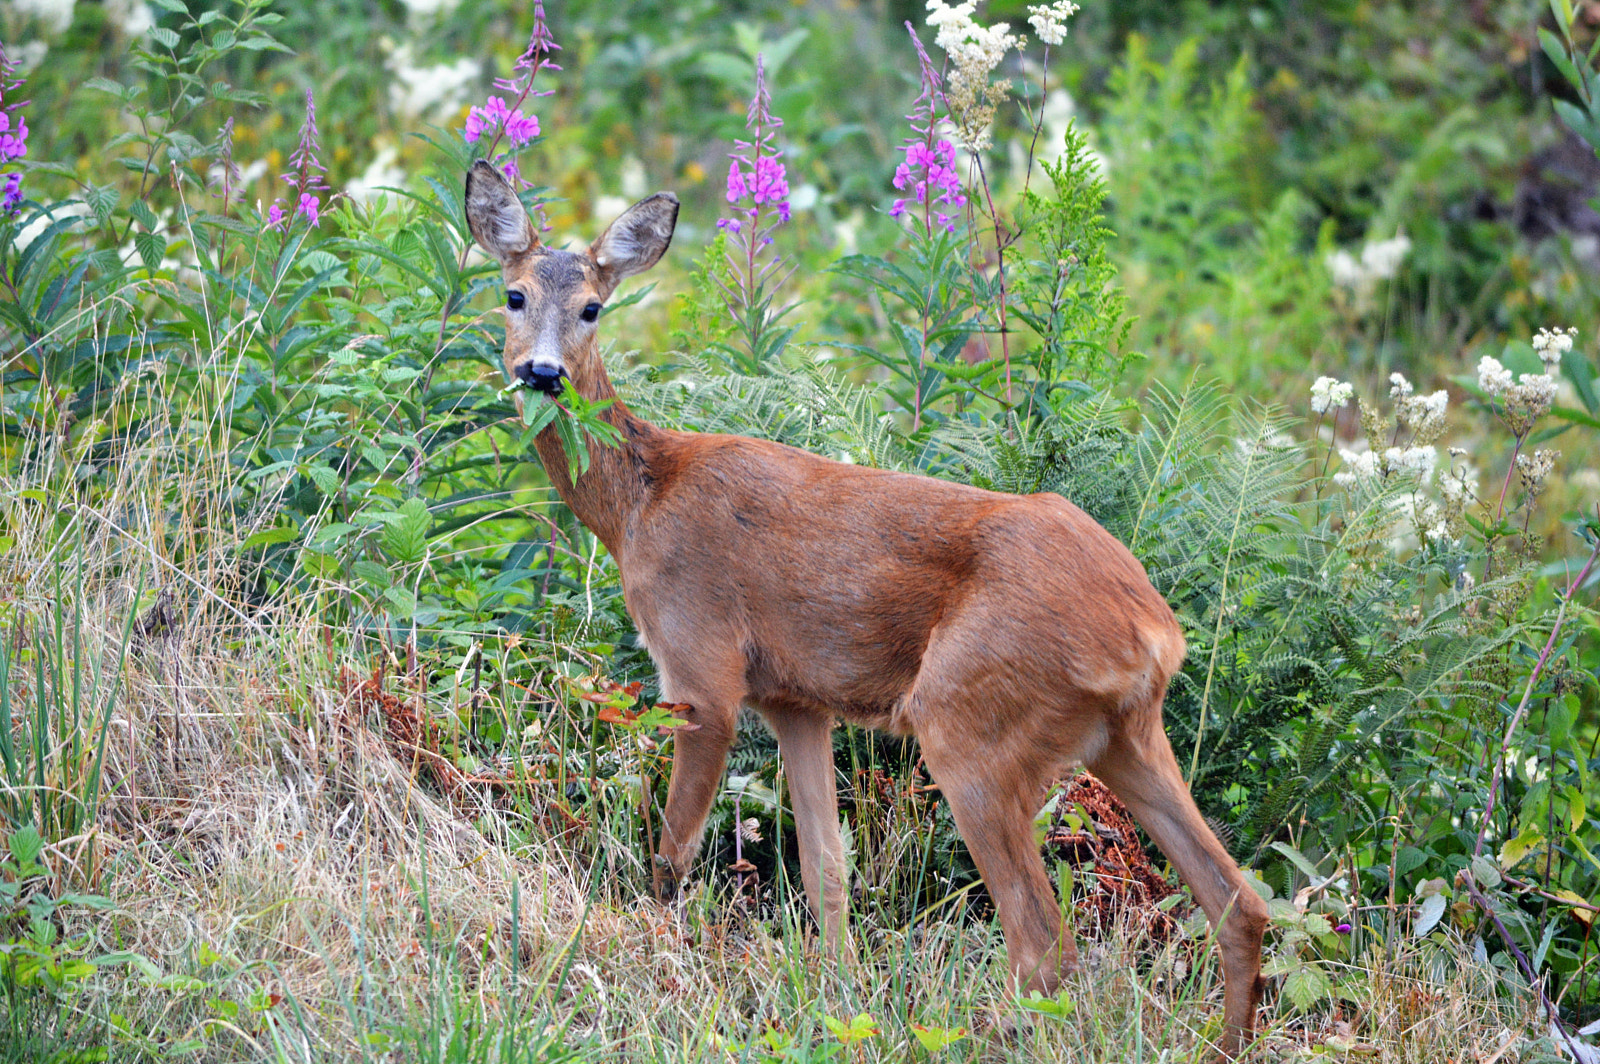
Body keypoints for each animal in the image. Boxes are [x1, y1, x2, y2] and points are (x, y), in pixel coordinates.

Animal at [463, 159, 1268, 1058]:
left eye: (593, 307)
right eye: (513, 294)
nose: (542, 373)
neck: (640, 502)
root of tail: (1152, 632)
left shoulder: (703, 668)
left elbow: (673, 856)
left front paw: (652, 950)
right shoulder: (796, 698)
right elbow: (828, 870)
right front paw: (838, 997)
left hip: (971, 723)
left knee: (1044, 942)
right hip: (1123, 735)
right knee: (1240, 902)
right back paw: (1225, 1040)